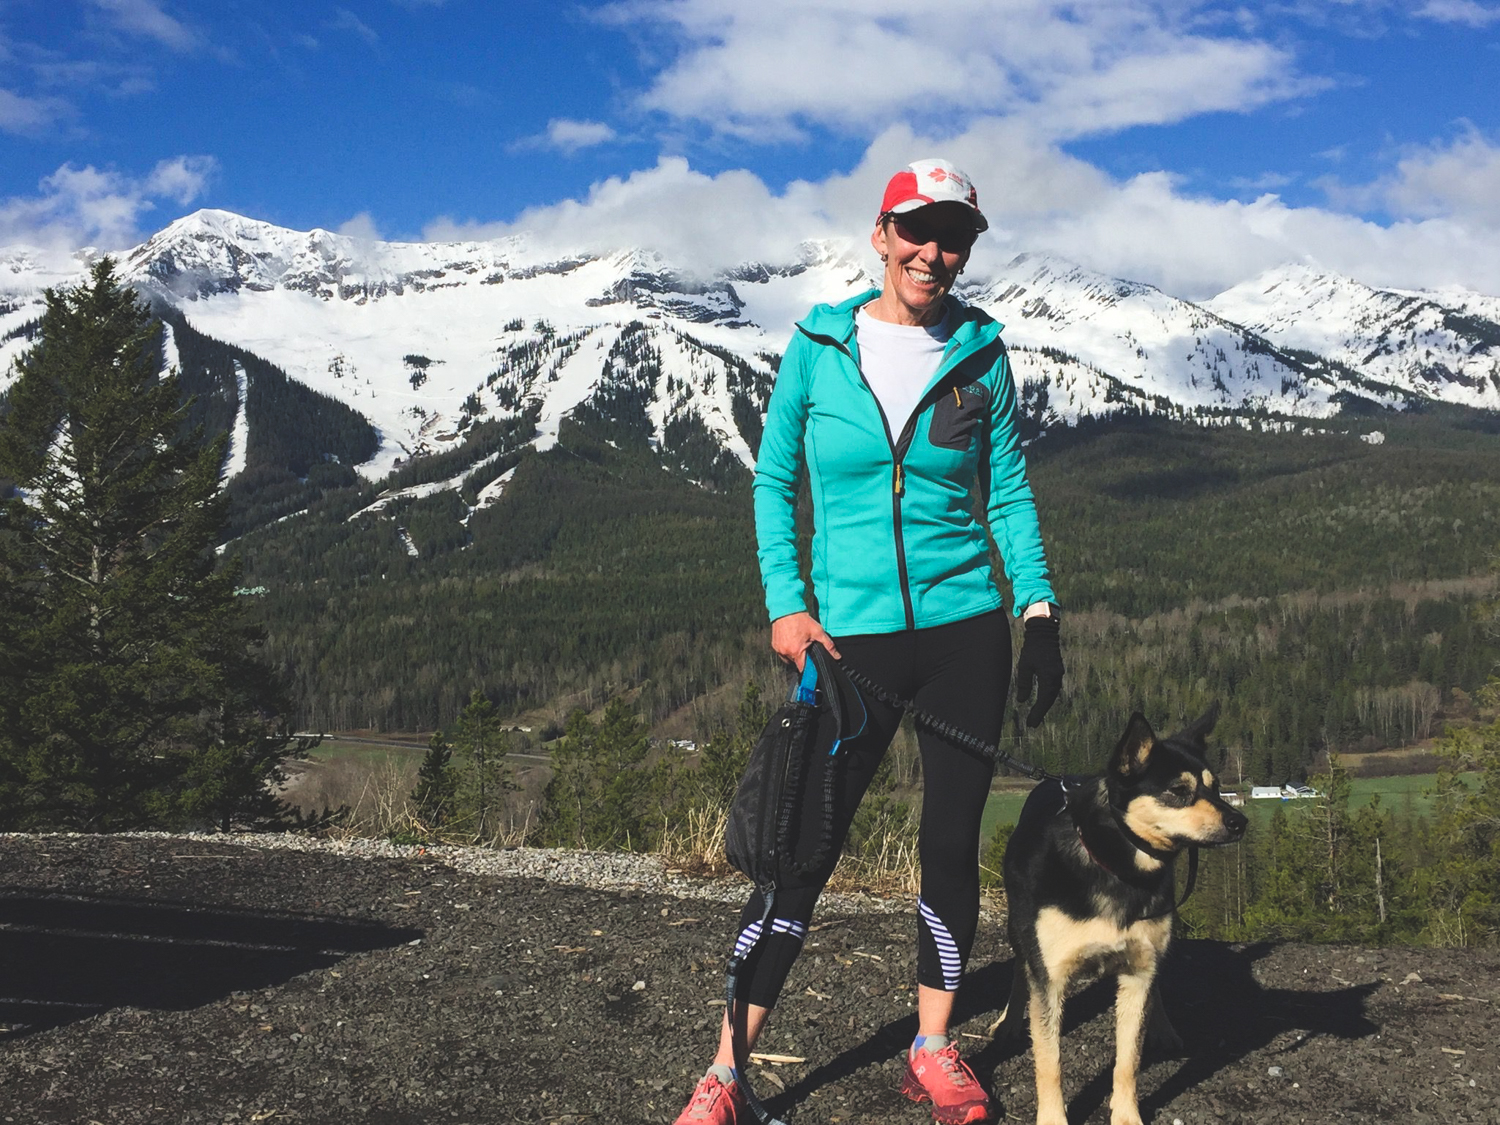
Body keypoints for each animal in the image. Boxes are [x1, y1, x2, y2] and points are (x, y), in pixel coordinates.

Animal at [996, 708, 1242, 1125]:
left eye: (1217, 787)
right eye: (1179, 791)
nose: (1240, 822)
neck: (1117, 865)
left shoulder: (1137, 972)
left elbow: (1129, 1059)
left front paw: (1126, 1114)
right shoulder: (1050, 978)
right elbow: (1049, 1062)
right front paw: (1053, 1116)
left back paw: (1163, 1028)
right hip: (1020, 929)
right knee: (1019, 970)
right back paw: (1010, 1020)